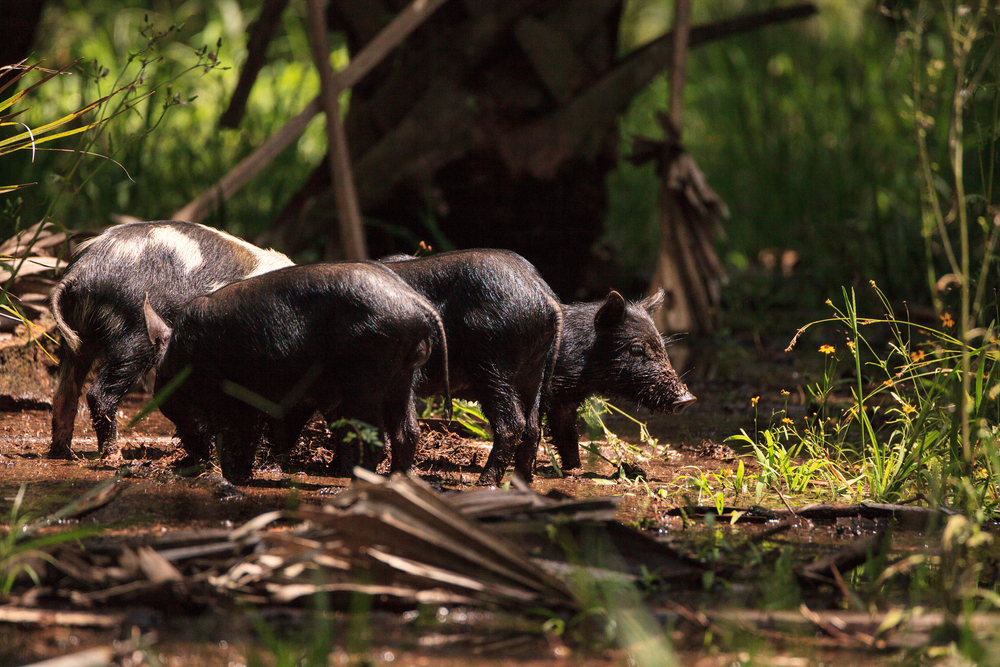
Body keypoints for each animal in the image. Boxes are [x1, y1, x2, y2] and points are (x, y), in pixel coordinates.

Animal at [48, 220, 294, 463]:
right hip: (135, 328)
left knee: (65, 391)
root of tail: (81, 270)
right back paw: (114, 457)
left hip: (80, 333)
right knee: (99, 393)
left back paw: (60, 453)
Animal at [147, 262, 448, 484]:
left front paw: (231, 479)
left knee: (375, 440)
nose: (193, 457)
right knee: (408, 433)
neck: (182, 361)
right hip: (402, 377)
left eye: (170, 401)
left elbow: (236, 435)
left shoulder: (228, 395)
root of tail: (417, 304)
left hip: (367, 377)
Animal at [381, 250, 562, 486]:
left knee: (512, 425)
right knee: (532, 426)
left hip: (492, 363)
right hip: (534, 371)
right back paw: (519, 482)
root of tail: (544, 294)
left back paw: (484, 483)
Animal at [543, 290, 696, 471]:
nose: (688, 399)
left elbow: (568, 436)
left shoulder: (564, 401)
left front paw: (575, 469)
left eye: (663, 348)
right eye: (636, 349)